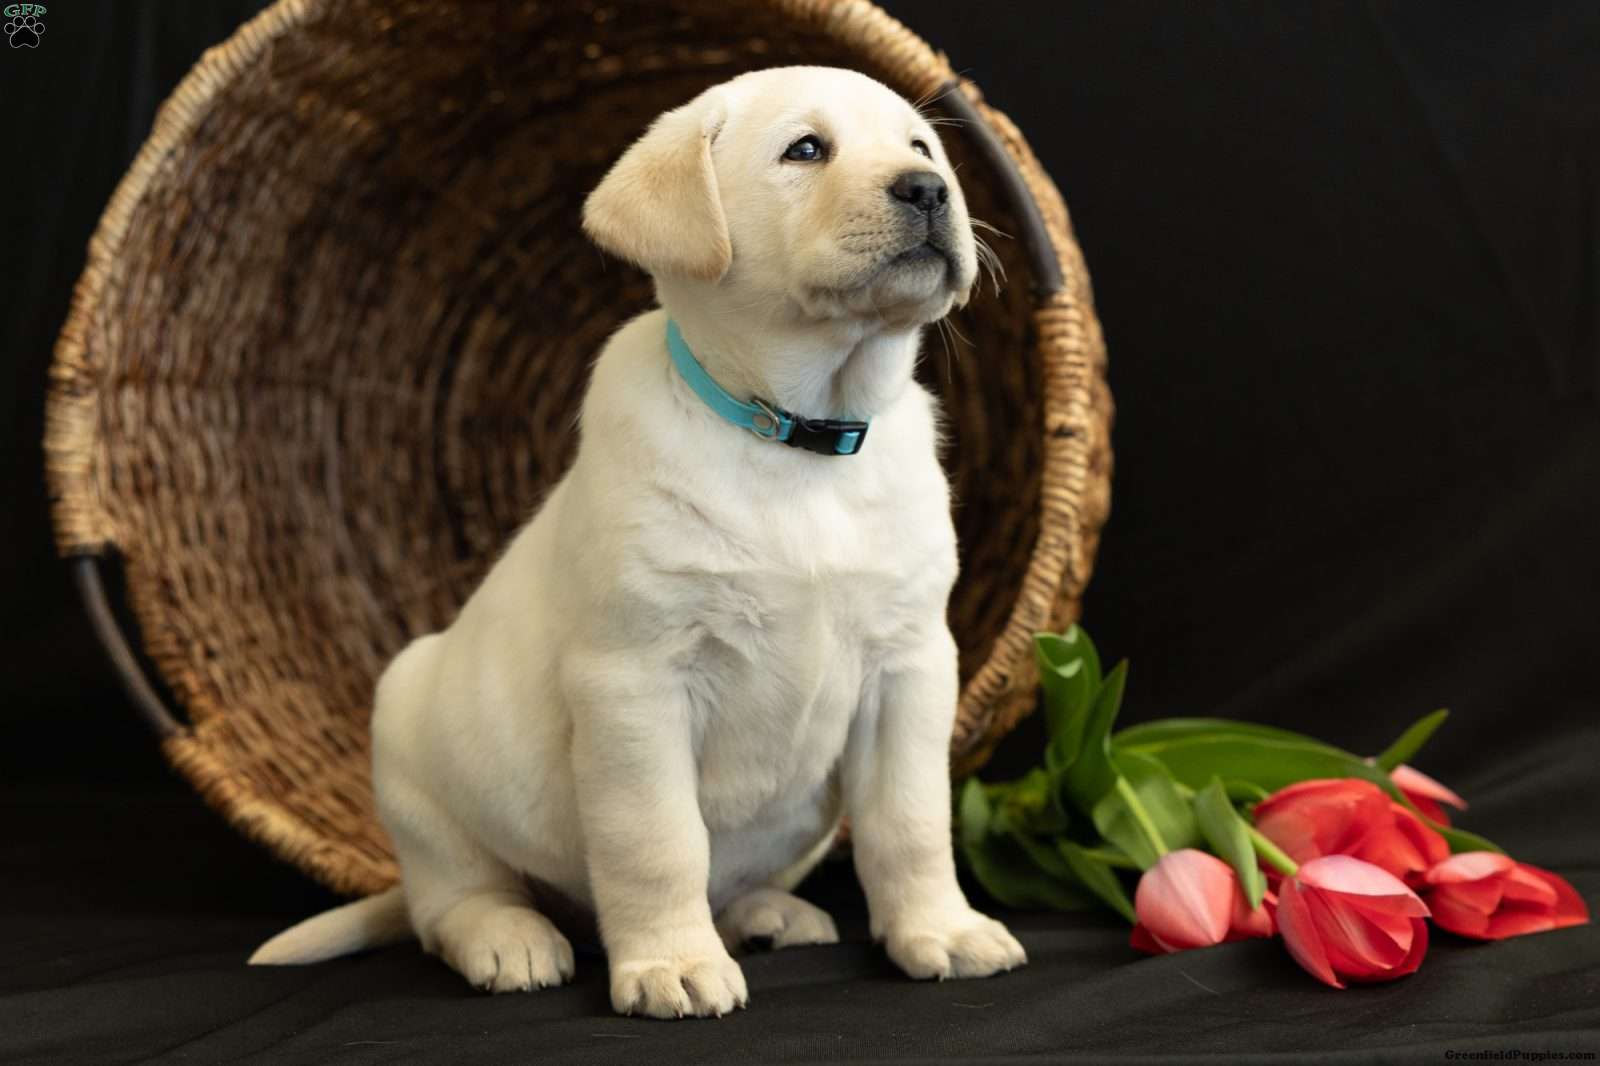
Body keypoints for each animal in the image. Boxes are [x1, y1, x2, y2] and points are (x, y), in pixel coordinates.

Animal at [251, 65, 1025, 1019]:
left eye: (921, 147)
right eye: (806, 149)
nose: (929, 190)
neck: (795, 436)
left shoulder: (911, 664)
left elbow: (912, 821)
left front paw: (941, 932)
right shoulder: (636, 678)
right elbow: (657, 840)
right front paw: (672, 964)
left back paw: (766, 912)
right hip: (408, 732)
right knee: (452, 897)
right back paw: (510, 938)